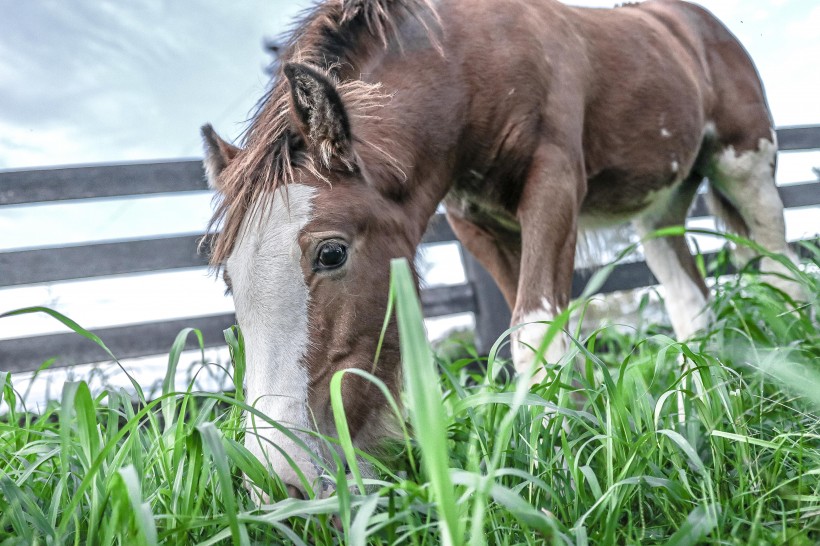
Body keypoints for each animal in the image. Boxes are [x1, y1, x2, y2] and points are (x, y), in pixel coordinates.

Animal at [202, 0, 804, 496]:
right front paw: (571, 432)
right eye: (230, 280)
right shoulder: (475, 222)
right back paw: (699, 406)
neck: (473, 61)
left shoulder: (554, 185)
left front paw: (553, 461)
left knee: (781, 269)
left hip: (746, 167)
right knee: (690, 303)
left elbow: (534, 328)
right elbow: (543, 331)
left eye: (330, 254)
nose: (278, 478)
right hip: (659, 210)